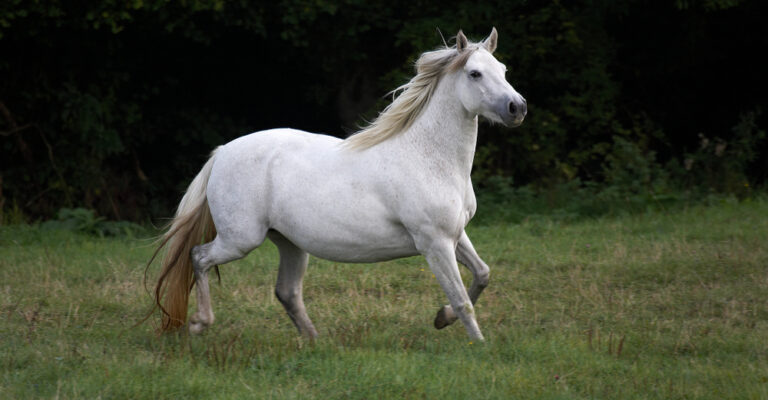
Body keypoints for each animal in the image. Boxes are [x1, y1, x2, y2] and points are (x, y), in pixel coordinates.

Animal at [148, 28, 527, 342]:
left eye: (504, 69)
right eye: (474, 73)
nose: (517, 107)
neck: (427, 157)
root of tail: (223, 152)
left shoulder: (455, 235)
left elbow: (482, 274)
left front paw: (441, 319)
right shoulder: (434, 243)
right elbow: (462, 299)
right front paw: (478, 345)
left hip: (289, 243)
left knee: (287, 292)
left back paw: (315, 342)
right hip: (240, 239)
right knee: (199, 258)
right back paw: (200, 323)